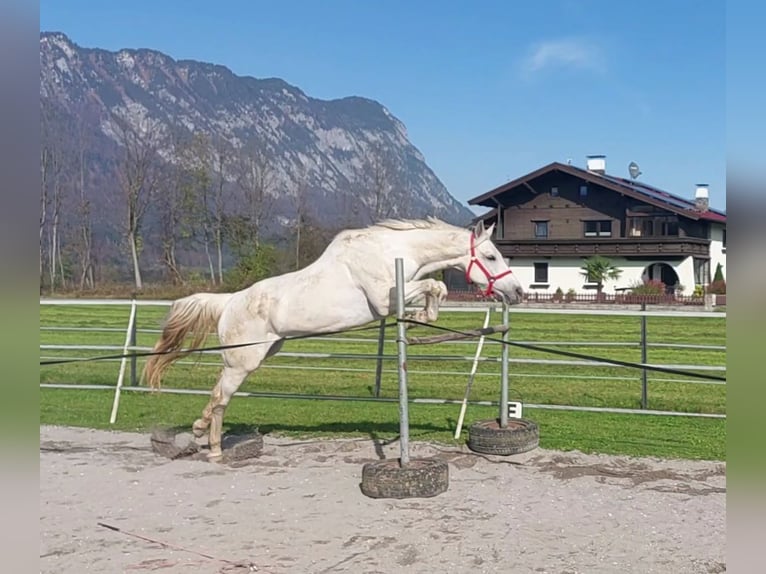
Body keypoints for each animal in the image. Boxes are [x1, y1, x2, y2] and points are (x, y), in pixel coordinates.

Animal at [145, 218, 524, 462]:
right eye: (491, 256)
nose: (517, 292)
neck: (392, 249)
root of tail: (229, 302)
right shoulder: (384, 299)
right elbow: (437, 286)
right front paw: (423, 315)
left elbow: (436, 290)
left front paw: (422, 317)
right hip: (242, 361)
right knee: (220, 397)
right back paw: (207, 442)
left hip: (259, 355)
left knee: (220, 396)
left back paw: (210, 443)